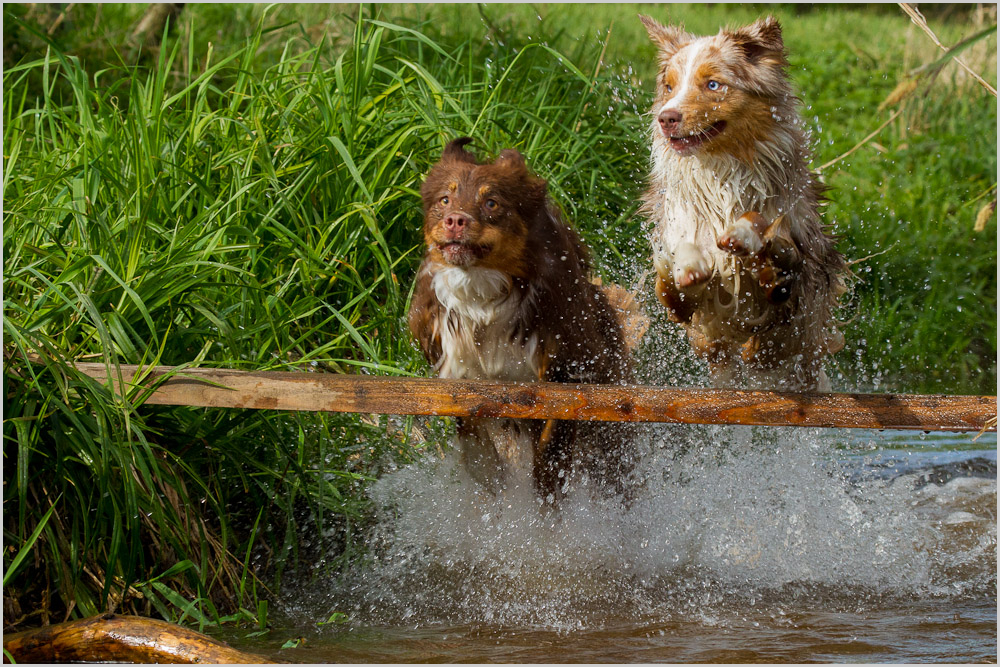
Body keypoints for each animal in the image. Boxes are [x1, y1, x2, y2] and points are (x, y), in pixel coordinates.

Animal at [410, 138, 636, 504]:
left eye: (491, 202)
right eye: (445, 199)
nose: (455, 220)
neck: (483, 295)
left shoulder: (564, 367)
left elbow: (551, 449)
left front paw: (544, 500)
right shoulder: (452, 363)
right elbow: (469, 431)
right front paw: (490, 476)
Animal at [640, 14, 844, 392]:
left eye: (713, 85)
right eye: (670, 87)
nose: (666, 118)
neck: (721, 174)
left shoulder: (798, 263)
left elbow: (761, 227)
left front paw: (742, 235)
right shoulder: (691, 311)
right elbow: (682, 261)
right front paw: (689, 264)